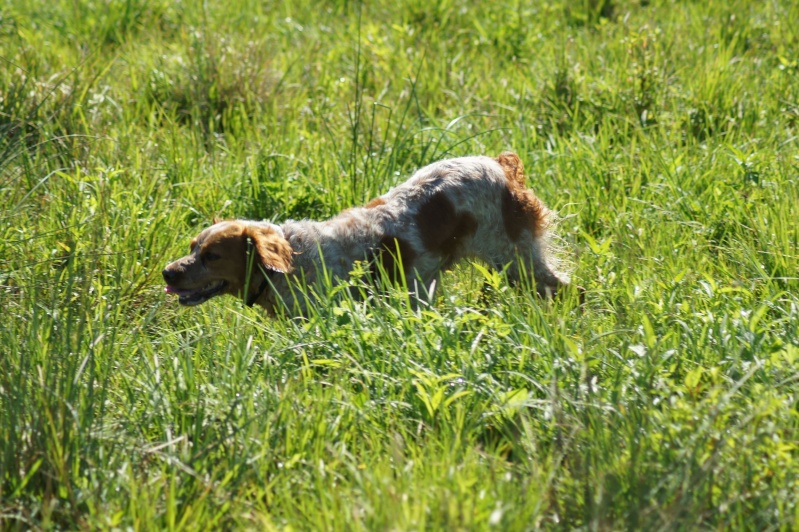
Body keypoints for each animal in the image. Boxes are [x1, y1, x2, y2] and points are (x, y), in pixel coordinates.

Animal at [162, 152, 568, 314]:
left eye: (212, 256)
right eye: (192, 247)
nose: (167, 272)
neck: (292, 262)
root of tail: (499, 165)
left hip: (519, 262)